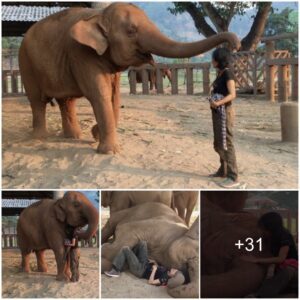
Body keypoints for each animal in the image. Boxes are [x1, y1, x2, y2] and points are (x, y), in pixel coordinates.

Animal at [18, 2, 240, 155]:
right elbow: (100, 94)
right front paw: (108, 151)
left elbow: (115, 96)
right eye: (131, 31)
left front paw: (95, 134)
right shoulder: (81, 54)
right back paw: (39, 138)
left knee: (66, 101)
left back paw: (74, 137)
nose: (235, 45)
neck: (99, 15)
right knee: (37, 101)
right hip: (26, 63)